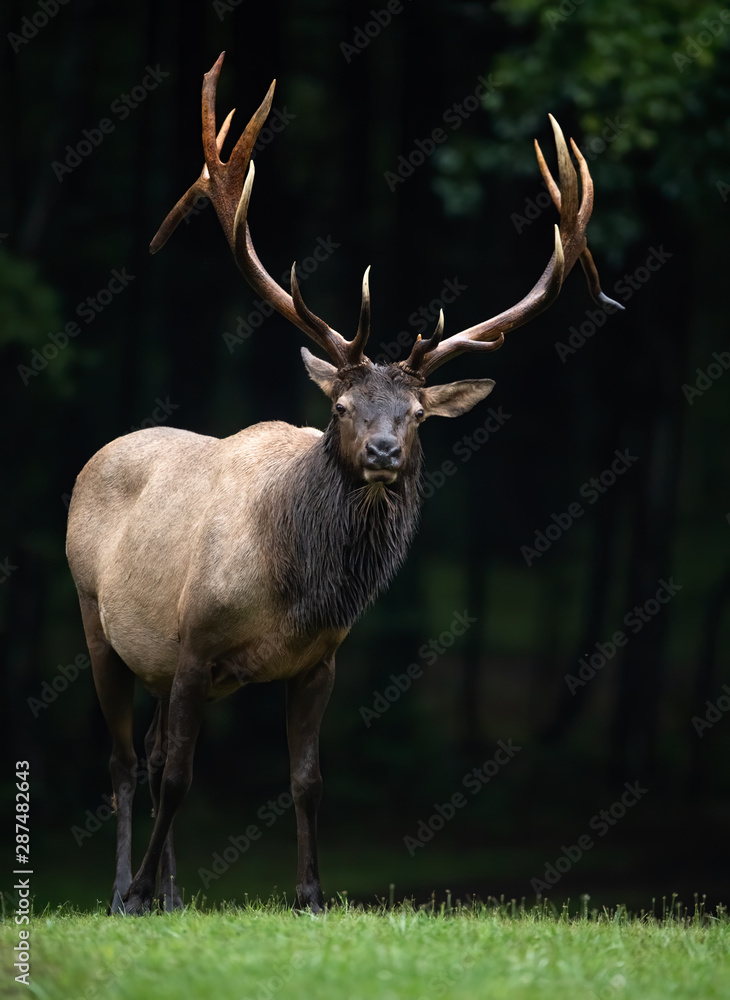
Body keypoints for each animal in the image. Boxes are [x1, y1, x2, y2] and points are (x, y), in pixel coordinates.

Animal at [66, 52, 622, 915]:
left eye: (420, 413)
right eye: (341, 406)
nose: (386, 451)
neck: (293, 586)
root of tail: (98, 455)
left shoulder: (318, 661)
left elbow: (306, 780)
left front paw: (311, 895)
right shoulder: (193, 641)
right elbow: (180, 778)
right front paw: (138, 891)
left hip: (154, 659)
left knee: (152, 754)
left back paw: (173, 894)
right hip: (97, 617)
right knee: (130, 762)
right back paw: (132, 889)